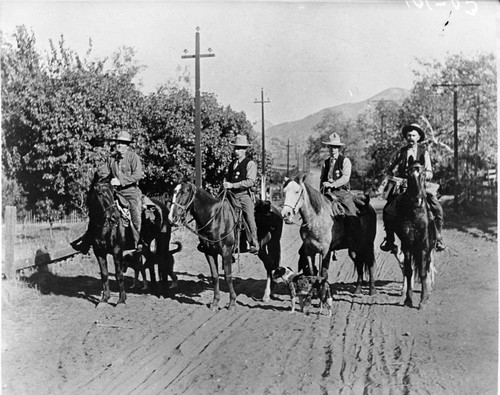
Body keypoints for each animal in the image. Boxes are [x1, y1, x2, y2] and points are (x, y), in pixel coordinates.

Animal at [85, 176, 126, 306]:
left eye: (113, 192)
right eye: (100, 193)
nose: (116, 216)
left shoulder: (117, 250)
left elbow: (119, 274)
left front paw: (121, 300)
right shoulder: (99, 252)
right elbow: (104, 273)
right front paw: (104, 299)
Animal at [168, 182, 284, 310]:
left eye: (184, 193)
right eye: (173, 192)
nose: (172, 217)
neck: (215, 217)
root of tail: (275, 210)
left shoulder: (226, 251)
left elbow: (228, 276)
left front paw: (232, 302)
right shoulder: (209, 252)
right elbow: (215, 276)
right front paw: (215, 303)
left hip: (274, 243)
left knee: (272, 264)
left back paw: (268, 294)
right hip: (261, 249)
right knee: (269, 265)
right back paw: (268, 294)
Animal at [392, 163, 436, 310]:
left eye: (423, 175)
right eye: (409, 176)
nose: (418, 200)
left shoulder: (423, 247)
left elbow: (422, 272)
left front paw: (422, 301)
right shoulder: (407, 247)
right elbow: (408, 271)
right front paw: (408, 299)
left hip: (430, 250)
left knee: (428, 268)